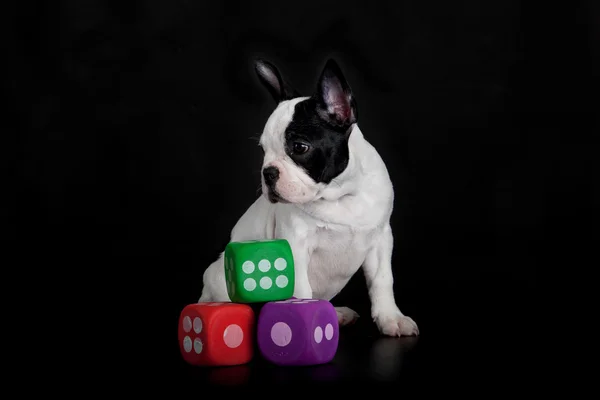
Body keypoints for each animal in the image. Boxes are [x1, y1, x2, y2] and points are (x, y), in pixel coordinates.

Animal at [199, 57, 420, 338]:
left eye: (299, 148)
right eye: (263, 150)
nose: (267, 172)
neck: (340, 194)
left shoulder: (381, 238)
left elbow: (382, 280)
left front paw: (391, 317)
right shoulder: (295, 244)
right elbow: (301, 290)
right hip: (218, 276)